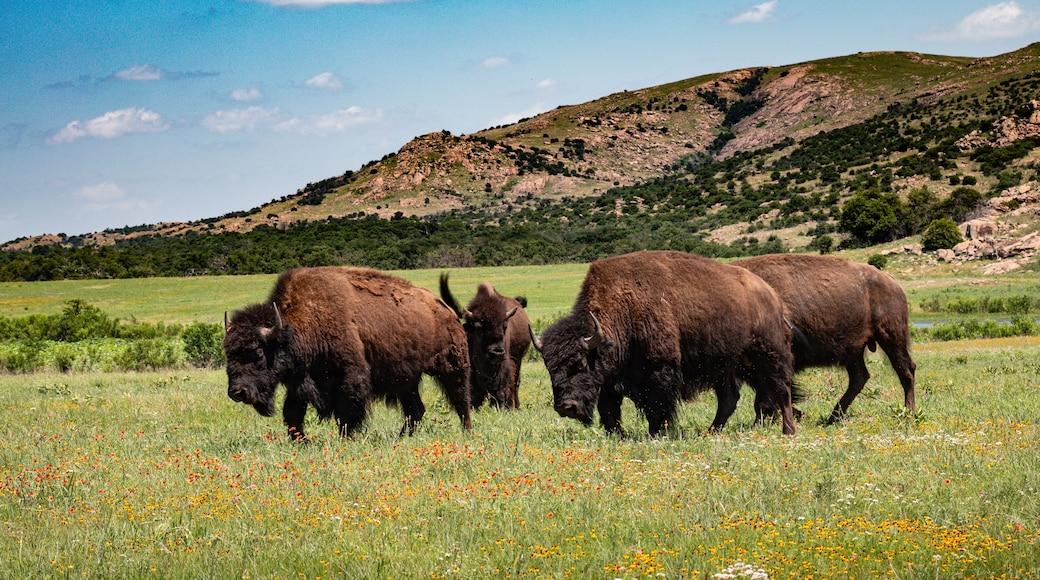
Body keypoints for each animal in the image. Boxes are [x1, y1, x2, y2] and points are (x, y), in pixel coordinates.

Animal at [223, 266, 472, 441]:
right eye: (228, 354)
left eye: (256, 352)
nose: (237, 392)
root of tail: (447, 311)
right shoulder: (300, 381)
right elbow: (292, 413)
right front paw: (302, 442)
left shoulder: (350, 376)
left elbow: (346, 412)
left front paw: (345, 439)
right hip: (407, 381)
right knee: (416, 410)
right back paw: (399, 439)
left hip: (452, 367)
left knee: (461, 401)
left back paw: (466, 433)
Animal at [439, 274, 531, 409]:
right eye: (478, 328)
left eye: (505, 327)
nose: (497, 353)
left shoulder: (505, 365)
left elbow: (503, 387)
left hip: (517, 359)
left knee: (515, 383)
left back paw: (516, 406)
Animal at [531, 250, 798, 436]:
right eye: (550, 369)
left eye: (579, 364)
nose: (565, 407)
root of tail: (771, 294)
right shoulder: (610, 380)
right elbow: (609, 410)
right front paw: (618, 435)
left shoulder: (660, 369)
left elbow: (656, 406)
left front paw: (655, 433)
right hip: (725, 365)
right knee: (729, 399)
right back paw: (711, 433)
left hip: (767, 354)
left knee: (781, 390)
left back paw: (788, 431)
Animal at [734, 254, 916, 423]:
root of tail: (891, 282)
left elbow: (764, 399)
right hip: (854, 351)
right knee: (860, 377)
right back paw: (833, 417)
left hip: (891, 338)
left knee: (906, 371)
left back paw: (909, 412)